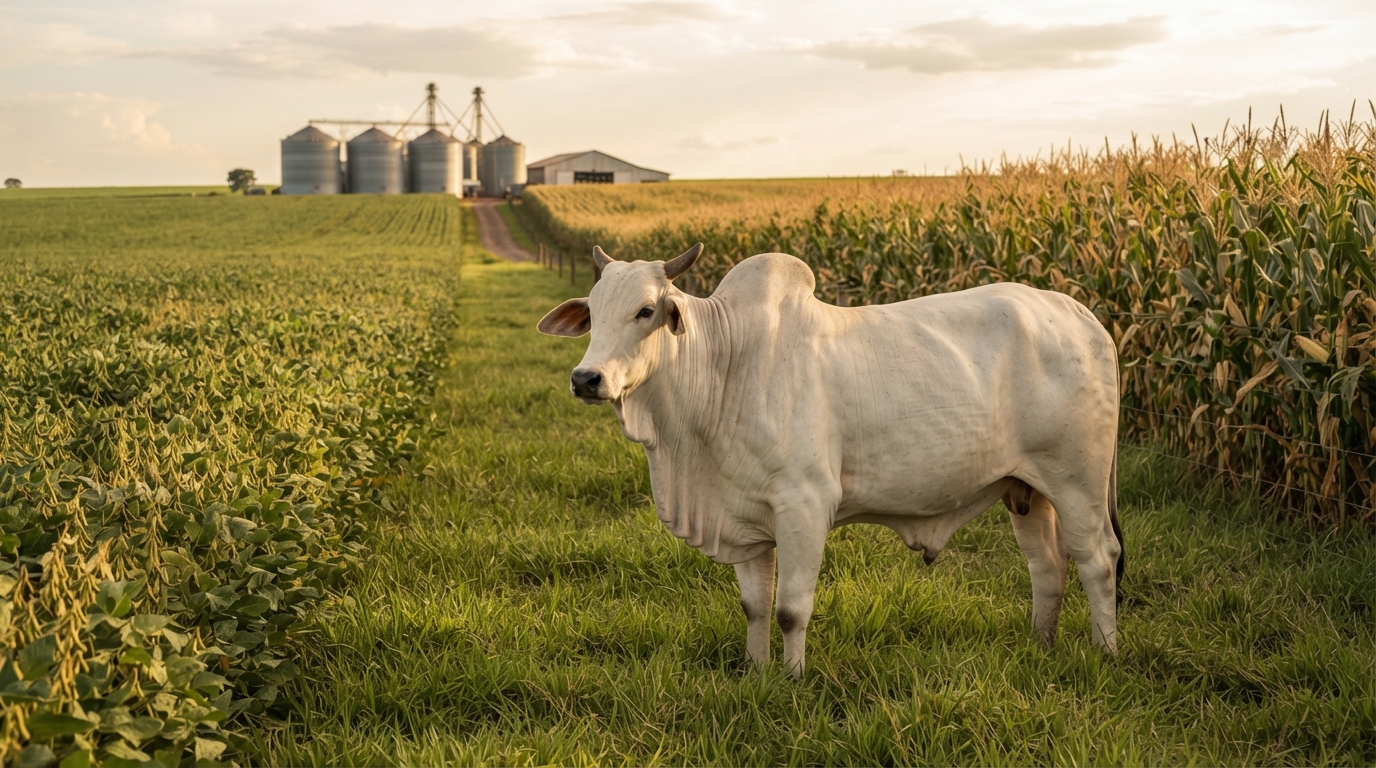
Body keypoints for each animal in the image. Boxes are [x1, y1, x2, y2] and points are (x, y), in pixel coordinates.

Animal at [537, 244, 1123, 676]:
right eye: (593, 313)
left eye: (645, 311)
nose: (586, 378)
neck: (725, 368)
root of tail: (1078, 313)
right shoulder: (744, 516)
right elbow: (755, 606)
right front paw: (756, 671)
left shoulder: (804, 506)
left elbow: (791, 608)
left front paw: (793, 680)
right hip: (1027, 490)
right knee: (1047, 566)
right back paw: (1041, 646)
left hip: (1079, 483)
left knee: (1097, 559)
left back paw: (1107, 652)